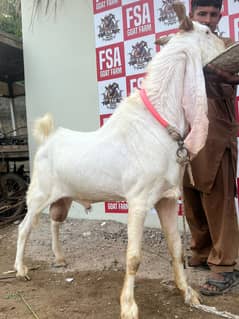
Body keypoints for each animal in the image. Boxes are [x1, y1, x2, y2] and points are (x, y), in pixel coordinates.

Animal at [14, 4, 225, 319]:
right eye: (208, 31)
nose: (226, 44)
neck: (159, 122)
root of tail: (49, 137)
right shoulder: (138, 201)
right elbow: (134, 257)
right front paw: (128, 306)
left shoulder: (166, 198)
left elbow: (176, 249)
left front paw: (188, 293)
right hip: (38, 193)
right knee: (25, 227)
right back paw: (20, 269)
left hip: (62, 197)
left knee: (55, 222)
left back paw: (60, 259)